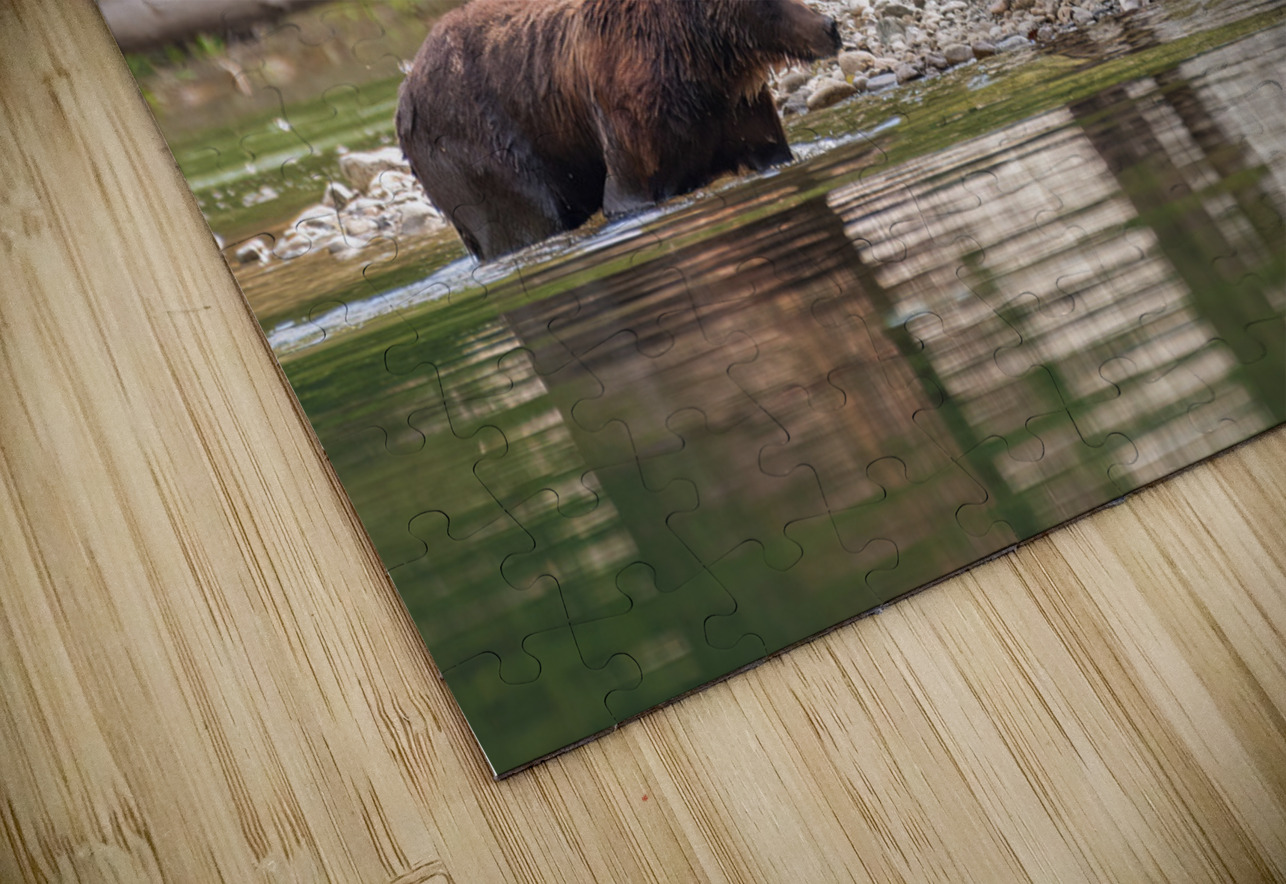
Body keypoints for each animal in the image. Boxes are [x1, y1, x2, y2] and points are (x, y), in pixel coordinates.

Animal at [395, 0, 841, 260]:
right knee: (524, 217)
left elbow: (769, 150)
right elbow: (630, 193)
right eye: (768, 2)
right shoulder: (636, 114)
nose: (830, 26)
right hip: (474, 144)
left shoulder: (734, 109)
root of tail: (405, 92)